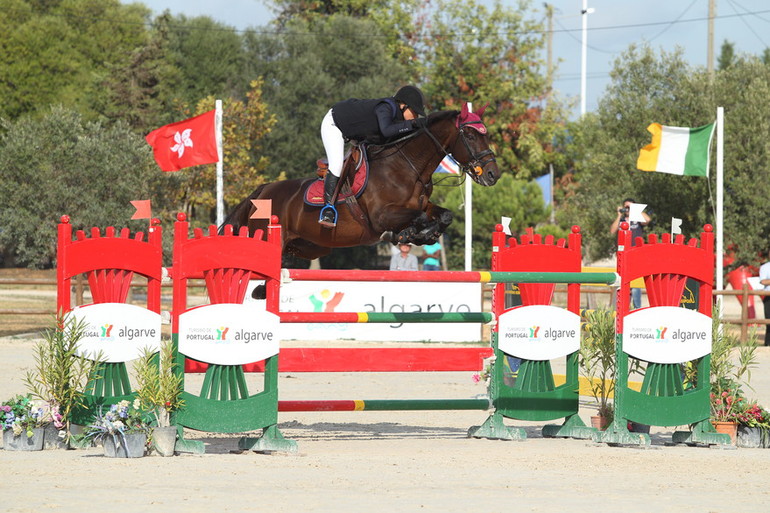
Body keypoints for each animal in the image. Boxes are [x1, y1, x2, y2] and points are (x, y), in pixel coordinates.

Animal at [222, 102, 498, 260]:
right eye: (470, 135)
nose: (493, 174)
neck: (406, 166)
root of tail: (260, 192)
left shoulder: (421, 205)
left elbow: (443, 215)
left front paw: (426, 234)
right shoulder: (381, 216)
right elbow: (417, 219)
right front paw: (409, 234)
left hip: (311, 246)